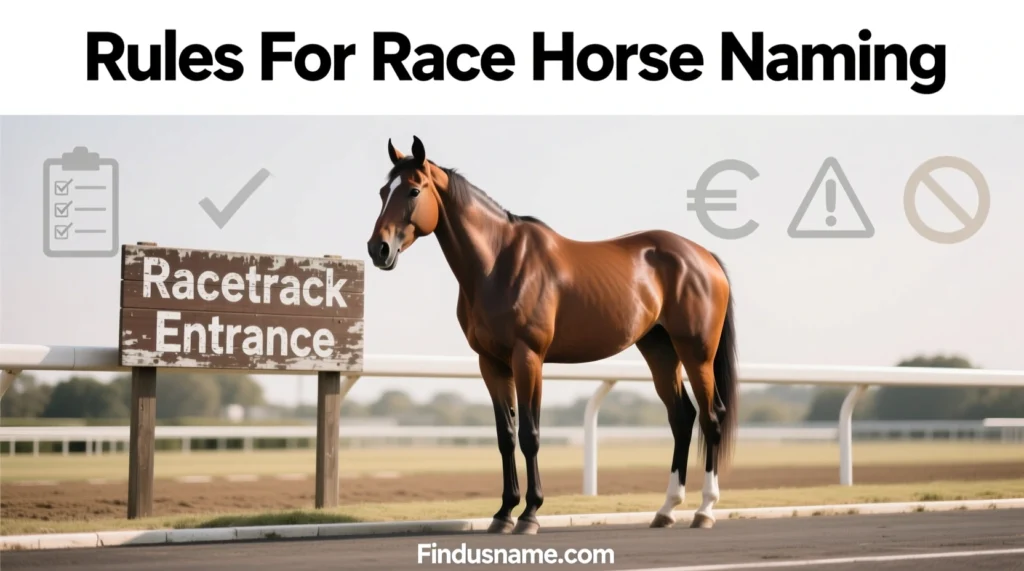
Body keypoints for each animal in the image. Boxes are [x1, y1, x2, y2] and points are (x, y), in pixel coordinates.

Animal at [366, 136, 738, 535]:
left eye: (413, 190)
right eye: (382, 192)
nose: (378, 249)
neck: (498, 263)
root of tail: (704, 257)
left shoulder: (529, 358)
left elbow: (530, 435)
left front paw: (530, 514)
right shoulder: (491, 363)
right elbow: (506, 436)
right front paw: (503, 512)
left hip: (696, 353)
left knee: (711, 417)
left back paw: (705, 510)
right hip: (659, 350)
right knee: (681, 418)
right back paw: (666, 510)